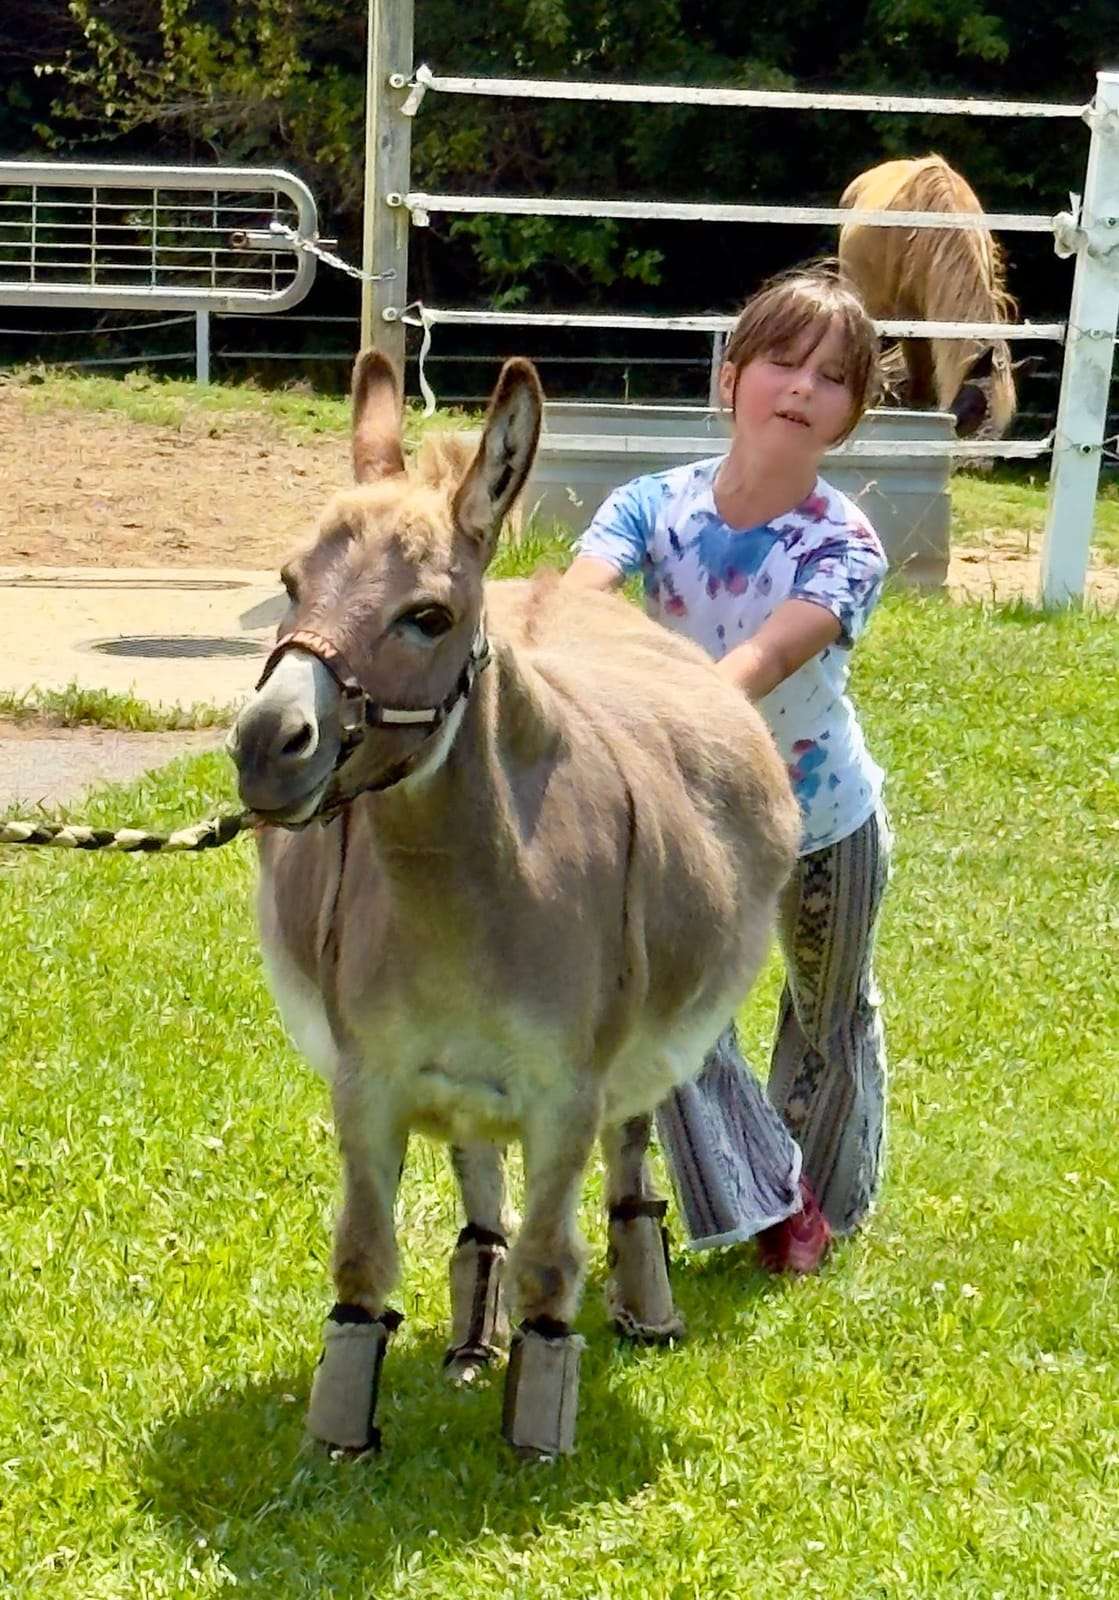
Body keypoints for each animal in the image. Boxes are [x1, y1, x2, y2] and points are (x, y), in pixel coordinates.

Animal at [226, 352, 800, 1458]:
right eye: (288, 585)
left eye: (427, 617)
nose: (265, 745)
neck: (457, 897)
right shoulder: (367, 1082)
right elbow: (361, 1258)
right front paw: (343, 1435)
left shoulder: (565, 1095)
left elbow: (549, 1264)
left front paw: (536, 1432)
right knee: (475, 1172)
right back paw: (470, 1335)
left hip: (636, 1060)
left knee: (629, 1160)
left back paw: (643, 1307)